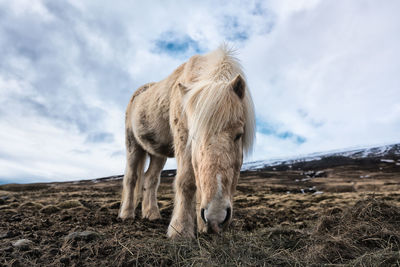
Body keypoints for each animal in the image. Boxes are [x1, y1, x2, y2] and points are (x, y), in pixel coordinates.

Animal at [119, 45, 256, 239]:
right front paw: (180, 229)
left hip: (157, 153)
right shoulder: (183, 140)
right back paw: (126, 214)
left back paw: (151, 214)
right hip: (133, 145)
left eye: (239, 135)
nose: (217, 216)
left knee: (150, 179)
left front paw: (202, 225)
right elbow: (187, 181)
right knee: (131, 178)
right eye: (194, 136)